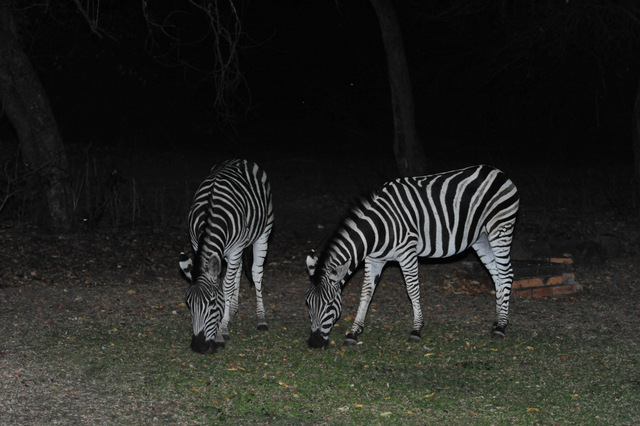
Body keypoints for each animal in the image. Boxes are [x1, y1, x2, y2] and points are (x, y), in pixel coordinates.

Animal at [180, 159, 274, 354]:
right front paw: (226, 318)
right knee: (237, 270)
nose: (198, 347)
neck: (210, 214)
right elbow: (226, 282)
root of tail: (241, 160)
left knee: (256, 273)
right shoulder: (197, 244)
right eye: (189, 303)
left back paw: (261, 318)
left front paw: (221, 332)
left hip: (264, 232)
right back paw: (232, 312)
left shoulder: (236, 248)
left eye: (213, 303)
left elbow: (227, 287)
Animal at [305, 164, 519, 349]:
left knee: (506, 273)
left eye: (329, 305)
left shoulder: (407, 253)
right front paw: (354, 332)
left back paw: (501, 327)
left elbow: (412, 290)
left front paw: (416, 330)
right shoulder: (374, 259)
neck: (379, 228)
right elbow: (366, 293)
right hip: (481, 238)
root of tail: (497, 171)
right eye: (308, 304)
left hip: (501, 228)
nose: (314, 344)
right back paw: (498, 321)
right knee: (497, 275)